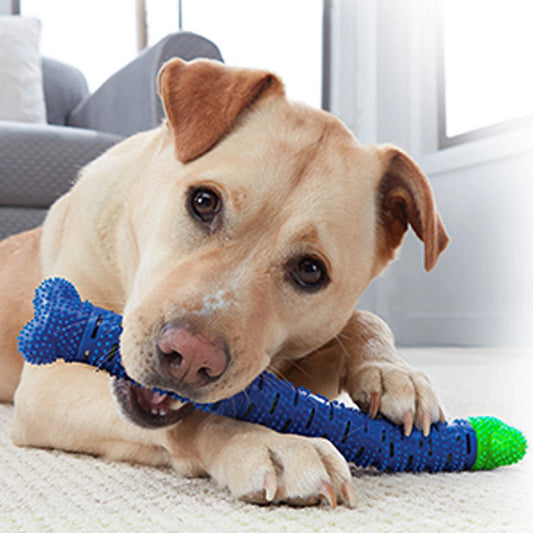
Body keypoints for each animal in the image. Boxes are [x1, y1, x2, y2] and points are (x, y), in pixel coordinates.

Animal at [0, 58, 448, 508]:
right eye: (203, 202)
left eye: (310, 271)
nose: (190, 357)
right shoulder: (45, 384)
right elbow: (204, 416)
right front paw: (270, 442)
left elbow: (366, 319)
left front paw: (394, 373)